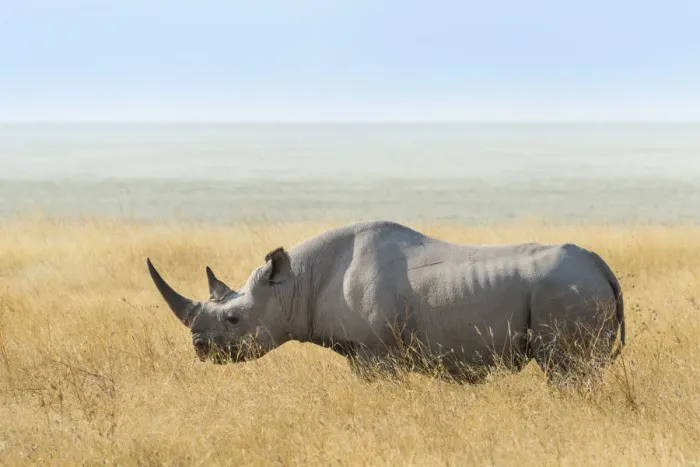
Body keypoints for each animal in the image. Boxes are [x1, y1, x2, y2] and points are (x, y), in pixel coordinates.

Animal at [146, 220, 625, 381]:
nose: (199, 348)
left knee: (569, 371)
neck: (295, 284)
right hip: (576, 285)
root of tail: (603, 268)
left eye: (233, 319)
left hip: (567, 288)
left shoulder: (378, 353)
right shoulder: (360, 352)